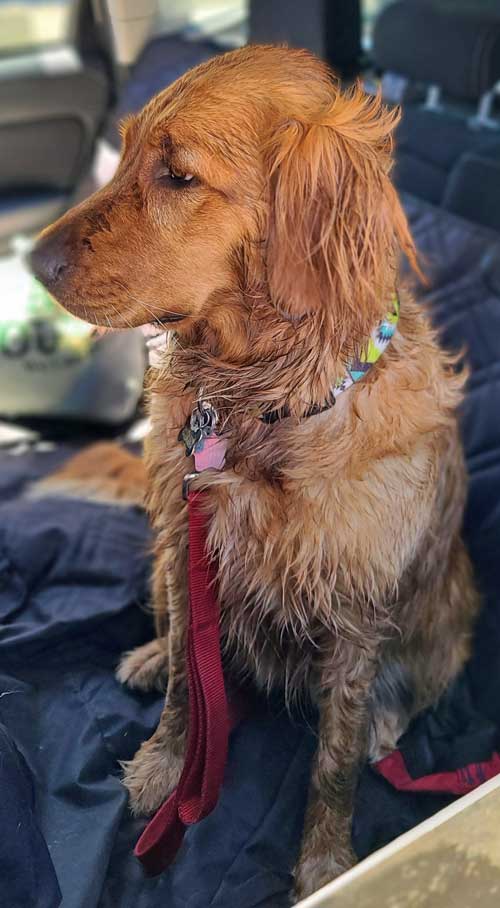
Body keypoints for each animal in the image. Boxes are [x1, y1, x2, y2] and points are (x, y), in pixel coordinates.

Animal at [29, 44, 478, 900]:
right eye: (123, 154)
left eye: (177, 175)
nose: (31, 261)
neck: (266, 406)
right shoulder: (189, 536)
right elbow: (186, 675)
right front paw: (168, 767)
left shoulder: (356, 607)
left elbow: (334, 760)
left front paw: (326, 866)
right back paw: (144, 655)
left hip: (453, 603)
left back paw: (389, 721)